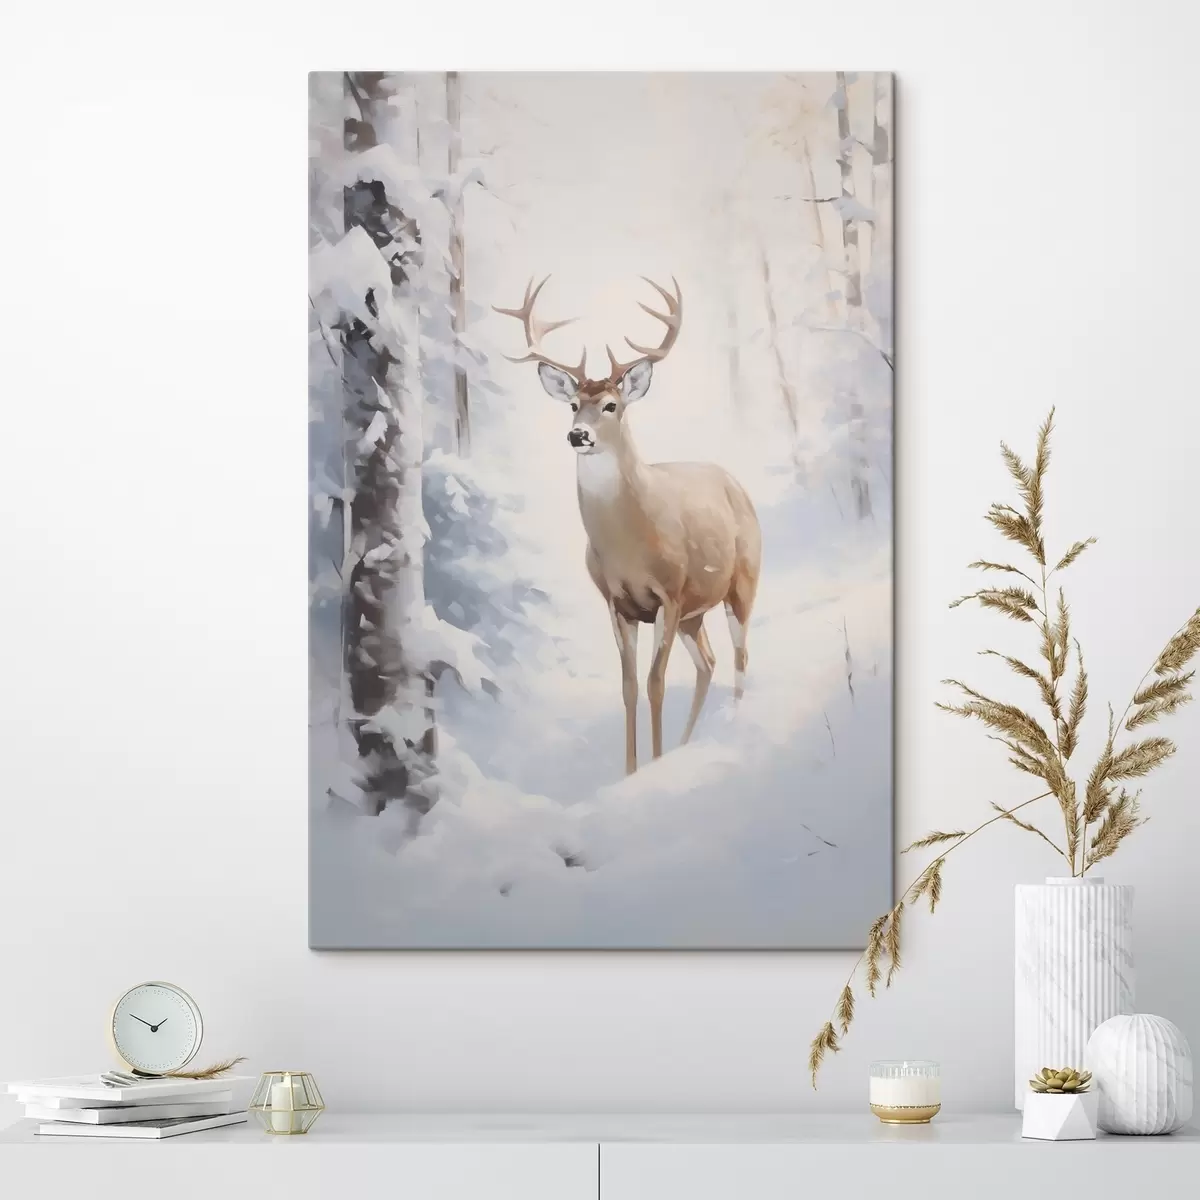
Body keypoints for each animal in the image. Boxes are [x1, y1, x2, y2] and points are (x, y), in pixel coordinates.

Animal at [496, 276, 762, 775]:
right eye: (573, 404)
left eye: (611, 405)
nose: (577, 435)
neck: (628, 547)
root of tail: (734, 481)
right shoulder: (618, 602)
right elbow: (629, 686)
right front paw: (632, 769)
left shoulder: (669, 595)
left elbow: (656, 683)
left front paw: (651, 767)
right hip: (695, 615)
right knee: (709, 662)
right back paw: (685, 744)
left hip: (741, 583)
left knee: (740, 655)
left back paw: (731, 726)